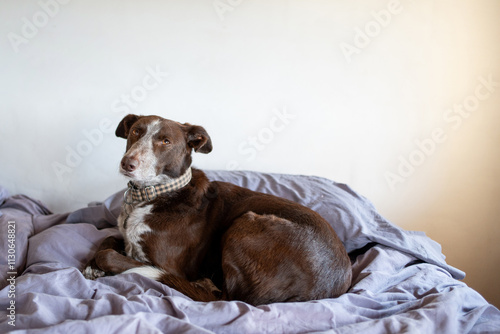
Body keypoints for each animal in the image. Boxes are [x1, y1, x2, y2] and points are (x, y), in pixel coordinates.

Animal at [84, 114, 352, 306]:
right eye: (135, 132)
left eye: (165, 141)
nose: (127, 163)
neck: (153, 194)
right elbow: (109, 237)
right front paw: (90, 266)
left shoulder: (168, 266)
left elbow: (111, 255)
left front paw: (100, 263)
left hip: (246, 223)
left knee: (226, 298)